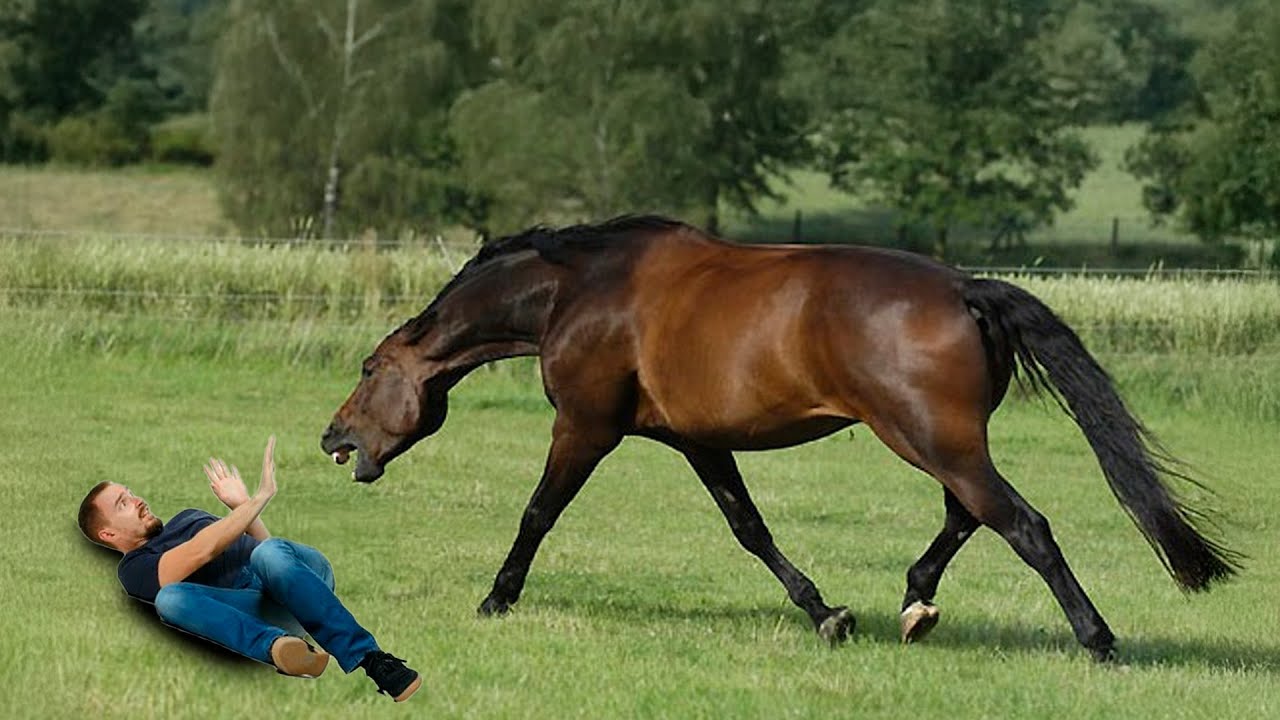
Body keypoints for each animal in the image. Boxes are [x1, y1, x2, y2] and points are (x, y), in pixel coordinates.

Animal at [321, 215, 1238, 661]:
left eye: (368, 368)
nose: (332, 439)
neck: (580, 290)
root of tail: (964, 288)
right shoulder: (697, 441)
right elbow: (749, 528)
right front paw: (827, 614)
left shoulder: (586, 426)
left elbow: (538, 514)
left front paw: (496, 598)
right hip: (940, 439)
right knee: (969, 516)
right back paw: (914, 604)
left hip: (928, 438)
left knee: (1024, 525)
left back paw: (1098, 641)